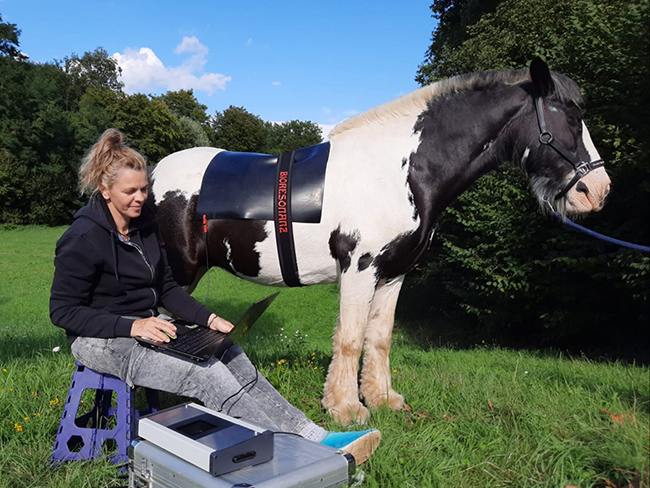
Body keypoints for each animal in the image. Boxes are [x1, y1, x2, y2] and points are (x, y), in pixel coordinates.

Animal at [151, 58, 608, 424]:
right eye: (570, 117)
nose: (598, 191)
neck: (401, 171)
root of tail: (152, 175)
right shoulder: (360, 269)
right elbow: (351, 338)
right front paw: (346, 408)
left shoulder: (393, 274)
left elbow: (379, 337)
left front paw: (382, 398)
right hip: (177, 276)